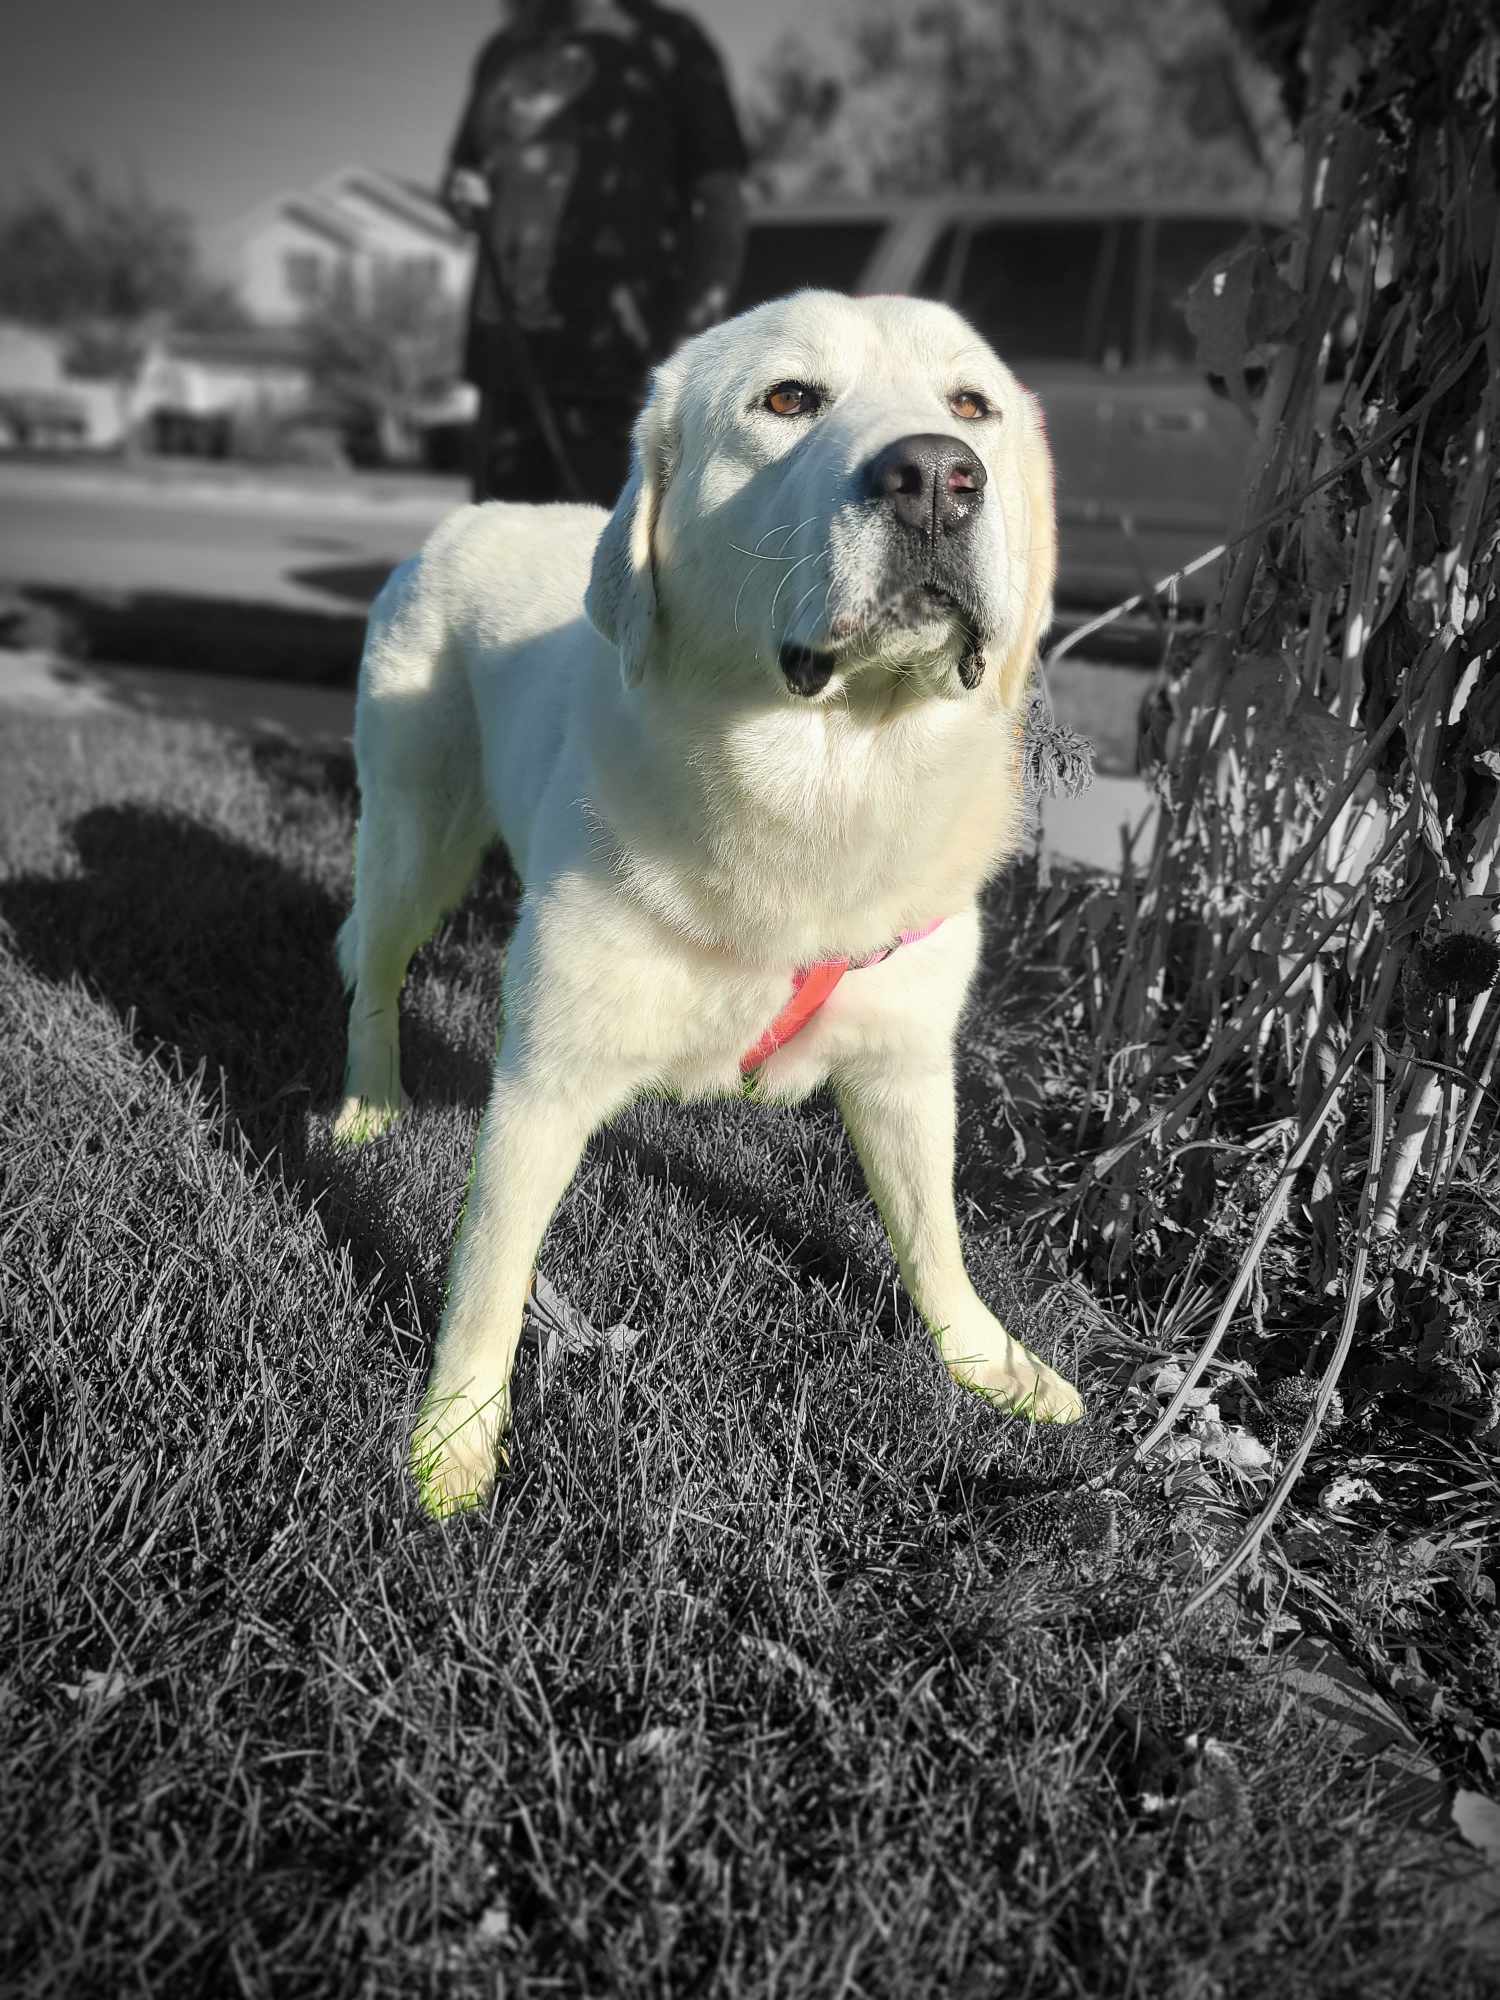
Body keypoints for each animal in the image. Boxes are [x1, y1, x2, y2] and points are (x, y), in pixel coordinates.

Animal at [340, 292, 1088, 1512]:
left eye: (971, 403)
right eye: (787, 398)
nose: (937, 475)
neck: (827, 782)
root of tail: (472, 514)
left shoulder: (905, 1066)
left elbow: (934, 1235)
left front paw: (986, 1361)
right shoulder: (544, 1084)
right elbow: (489, 1282)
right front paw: (451, 1444)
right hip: (415, 838)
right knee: (373, 966)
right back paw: (367, 1104)